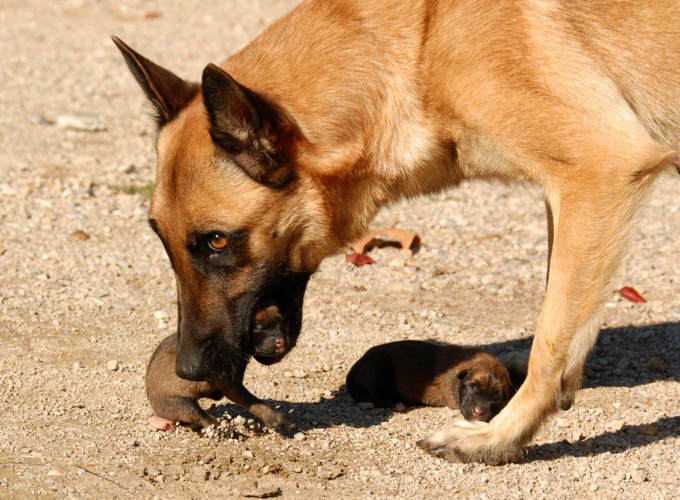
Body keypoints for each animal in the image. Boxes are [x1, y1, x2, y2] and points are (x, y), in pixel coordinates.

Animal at [348, 340, 512, 422]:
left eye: (497, 398)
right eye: (472, 386)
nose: (478, 413)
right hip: (378, 363)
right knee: (376, 395)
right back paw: (396, 404)